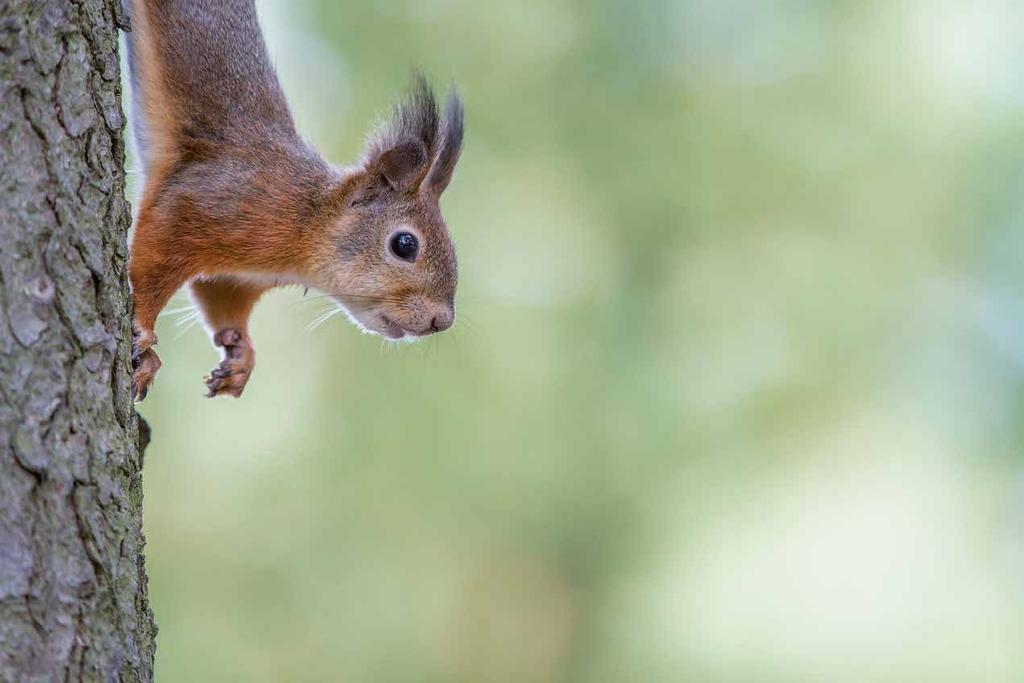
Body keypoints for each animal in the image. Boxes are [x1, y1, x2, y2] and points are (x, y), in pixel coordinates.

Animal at [125, 0, 466, 401]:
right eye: (404, 244)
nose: (441, 321)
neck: (305, 219)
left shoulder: (237, 277)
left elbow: (218, 297)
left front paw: (242, 356)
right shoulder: (205, 203)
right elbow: (151, 263)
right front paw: (144, 330)